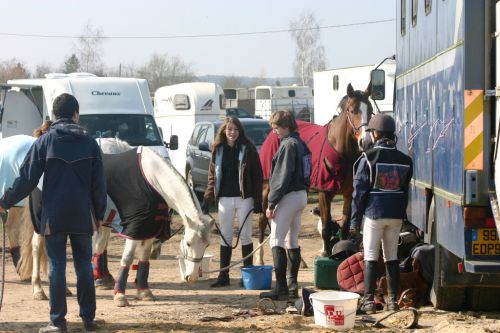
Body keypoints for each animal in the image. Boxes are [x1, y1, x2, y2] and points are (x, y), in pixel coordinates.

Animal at [258, 81, 372, 260]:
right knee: (263, 219)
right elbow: (326, 226)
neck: (343, 153)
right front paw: (325, 252)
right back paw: (259, 257)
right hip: (267, 186)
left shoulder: (349, 195)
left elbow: (345, 227)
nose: (365, 142)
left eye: (371, 110)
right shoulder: (324, 193)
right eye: (353, 110)